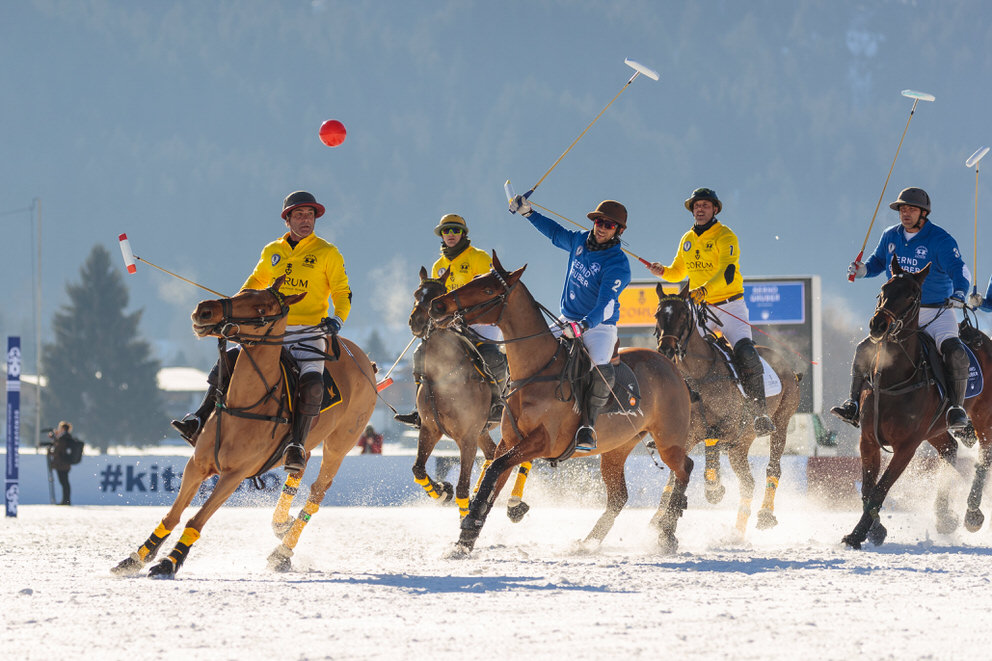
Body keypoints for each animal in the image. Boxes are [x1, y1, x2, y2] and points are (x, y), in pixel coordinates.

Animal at [110, 276, 378, 576]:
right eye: (243, 292)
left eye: (262, 309)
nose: (204, 310)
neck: (245, 404)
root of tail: (365, 360)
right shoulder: (197, 464)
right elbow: (173, 515)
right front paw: (137, 557)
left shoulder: (234, 474)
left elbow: (195, 520)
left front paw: (170, 562)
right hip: (307, 441)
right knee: (298, 465)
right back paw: (280, 523)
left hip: (341, 442)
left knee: (317, 491)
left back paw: (282, 552)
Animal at [406, 268, 532, 520]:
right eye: (416, 292)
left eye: (439, 293)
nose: (417, 322)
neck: (444, 377)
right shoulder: (430, 429)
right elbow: (418, 469)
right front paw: (442, 491)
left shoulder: (467, 437)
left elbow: (462, 487)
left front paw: (467, 513)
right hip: (485, 432)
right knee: (493, 454)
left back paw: (514, 503)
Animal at [430, 255, 692, 556]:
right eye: (475, 279)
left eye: (488, 289)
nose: (437, 305)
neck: (536, 371)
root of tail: (671, 365)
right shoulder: (509, 441)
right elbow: (493, 477)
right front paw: (465, 540)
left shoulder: (545, 441)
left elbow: (494, 469)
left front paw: (471, 525)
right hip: (618, 446)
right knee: (619, 496)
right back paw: (588, 542)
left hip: (669, 439)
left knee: (684, 469)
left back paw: (666, 532)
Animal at [656, 282, 804, 532]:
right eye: (658, 315)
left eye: (684, 314)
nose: (665, 350)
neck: (699, 376)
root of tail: (787, 366)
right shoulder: (687, 434)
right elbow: (676, 471)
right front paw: (660, 518)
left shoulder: (729, 426)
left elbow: (711, 440)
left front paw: (714, 486)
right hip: (740, 446)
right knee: (747, 482)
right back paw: (736, 533)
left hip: (781, 421)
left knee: (773, 467)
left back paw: (765, 514)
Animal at [844, 260, 992, 548]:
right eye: (884, 288)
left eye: (912, 295)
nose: (878, 325)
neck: (893, 379)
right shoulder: (868, 439)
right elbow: (867, 489)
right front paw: (875, 530)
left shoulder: (907, 446)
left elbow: (880, 489)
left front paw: (856, 535)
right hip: (935, 429)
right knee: (950, 449)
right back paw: (945, 517)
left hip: (984, 417)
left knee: (983, 458)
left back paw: (972, 514)